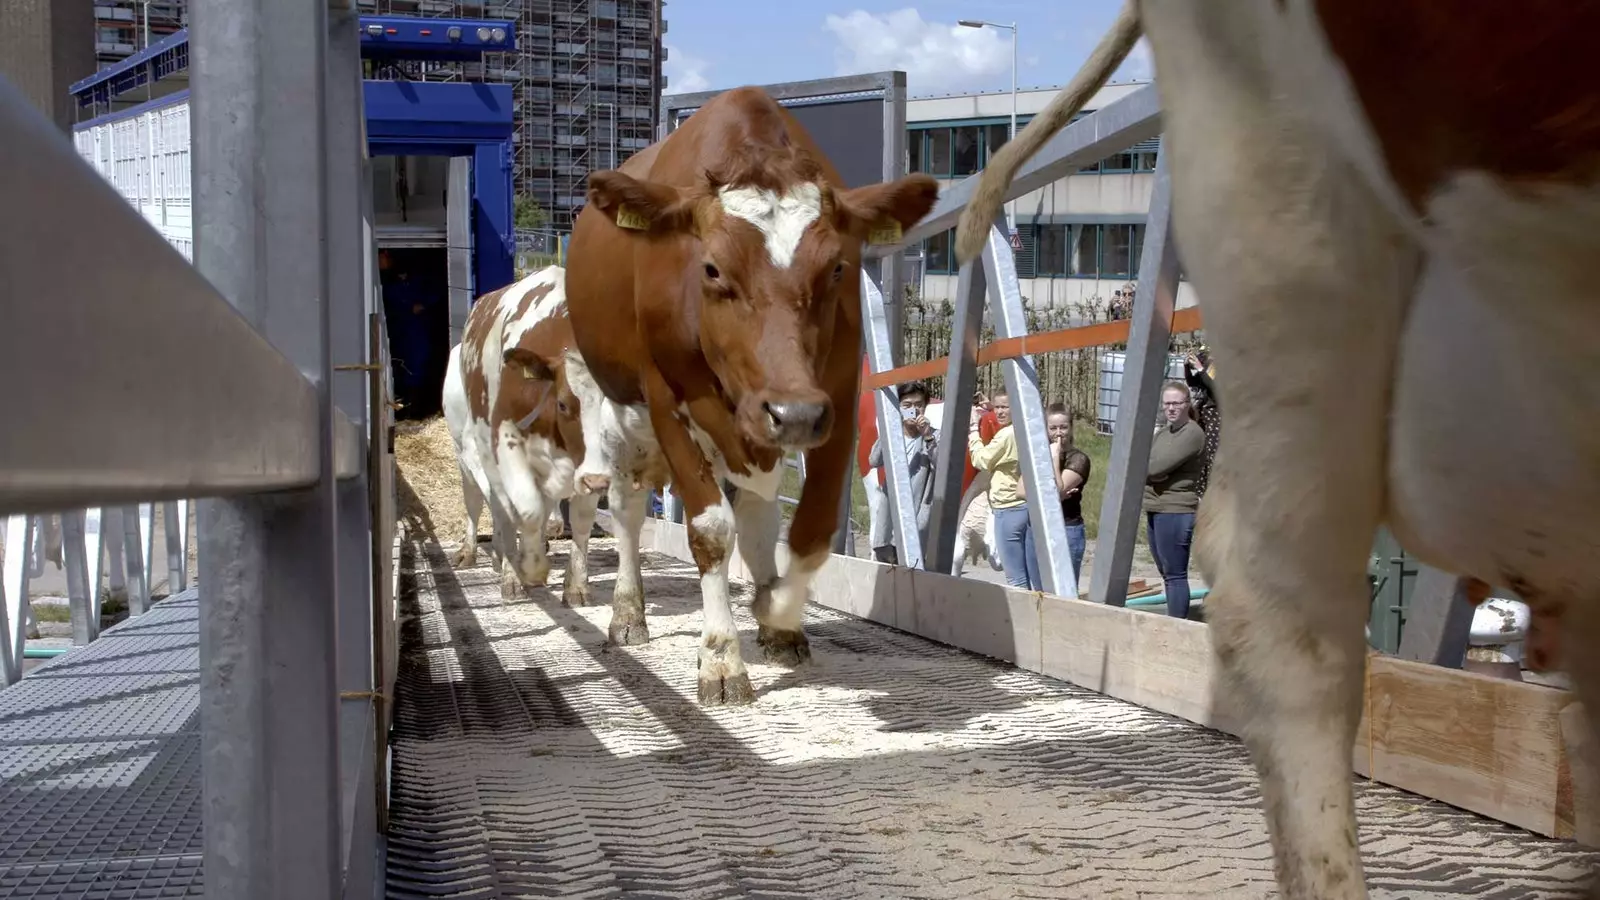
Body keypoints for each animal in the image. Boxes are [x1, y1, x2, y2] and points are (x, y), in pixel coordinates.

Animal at [563, 84, 934, 701]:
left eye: (837, 269)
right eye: (712, 269)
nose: (792, 413)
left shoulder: (833, 396)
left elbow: (809, 532)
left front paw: (776, 610)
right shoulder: (668, 402)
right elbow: (711, 530)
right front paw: (720, 656)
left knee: (758, 512)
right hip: (619, 416)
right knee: (627, 509)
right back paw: (628, 612)